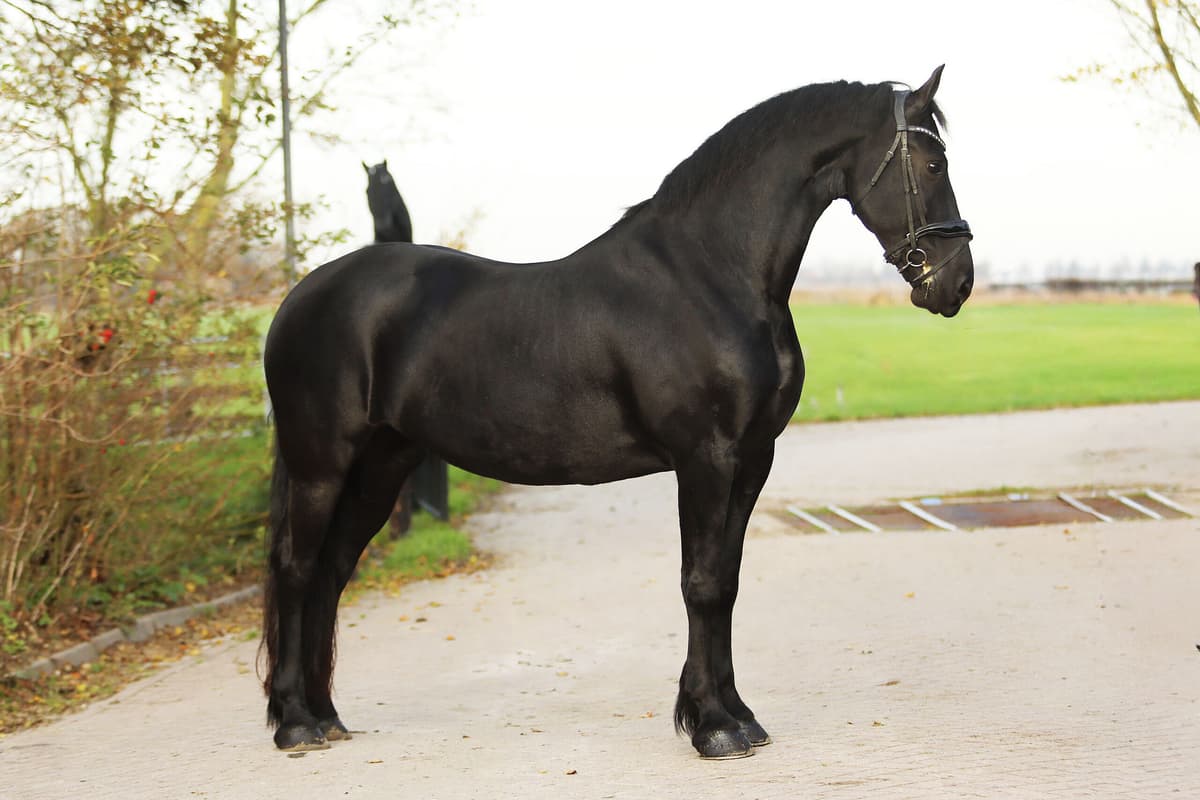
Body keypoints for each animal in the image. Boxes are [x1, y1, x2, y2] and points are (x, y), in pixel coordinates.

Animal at [262, 66, 974, 760]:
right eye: (932, 163)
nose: (956, 283)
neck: (710, 275)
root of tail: (299, 296)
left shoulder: (752, 458)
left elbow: (727, 583)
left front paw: (736, 716)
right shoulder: (704, 458)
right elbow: (701, 582)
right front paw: (714, 727)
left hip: (381, 466)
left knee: (330, 572)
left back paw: (326, 716)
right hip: (322, 466)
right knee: (297, 569)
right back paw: (294, 724)